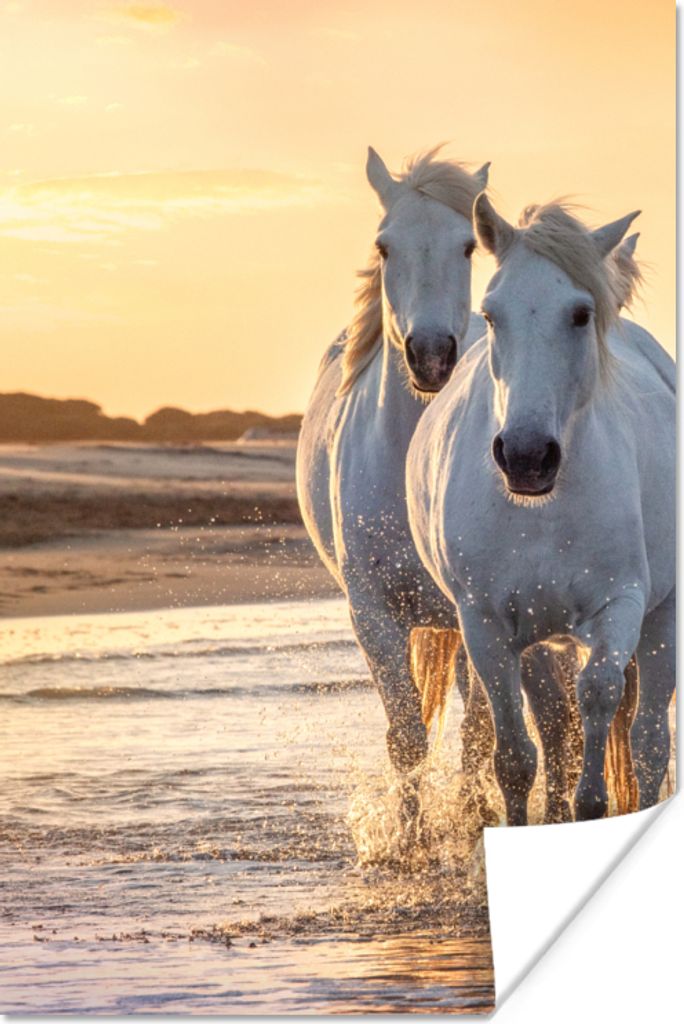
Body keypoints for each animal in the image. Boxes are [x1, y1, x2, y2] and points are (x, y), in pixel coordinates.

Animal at [296, 146, 490, 842]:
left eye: (468, 246)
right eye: (384, 246)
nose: (431, 356)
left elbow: (479, 731)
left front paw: (473, 824)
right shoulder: (373, 615)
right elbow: (405, 736)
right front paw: (408, 842)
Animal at [406, 195, 675, 825]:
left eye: (579, 314)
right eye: (491, 314)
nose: (526, 457)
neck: (542, 513)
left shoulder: (618, 607)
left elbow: (598, 702)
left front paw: (592, 806)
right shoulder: (485, 626)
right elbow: (515, 756)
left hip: (663, 619)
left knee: (650, 740)